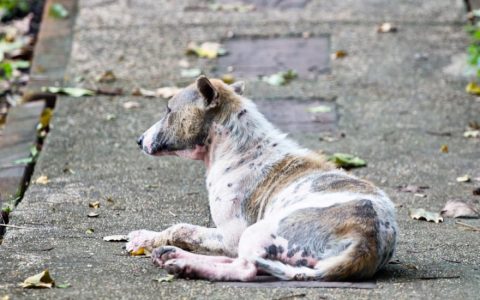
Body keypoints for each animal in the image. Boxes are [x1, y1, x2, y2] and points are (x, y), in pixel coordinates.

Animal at [127, 75, 398, 282]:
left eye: (169, 110)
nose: (139, 140)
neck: (238, 147)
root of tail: (366, 242)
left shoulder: (230, 236)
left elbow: (181, 227)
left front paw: (146, 238)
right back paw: (173, 256)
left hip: (258, 232)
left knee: (245, 268)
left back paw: (184, 264)